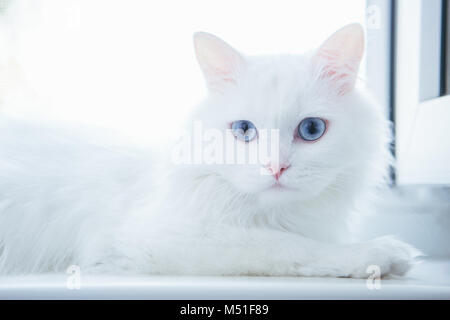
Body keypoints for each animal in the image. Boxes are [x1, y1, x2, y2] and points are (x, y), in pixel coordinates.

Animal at [0, 23, 418, 276]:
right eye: (243, 131)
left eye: (311, 130)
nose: (275, 168)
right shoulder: (161, 237)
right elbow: (289, 247)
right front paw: (379, 254)